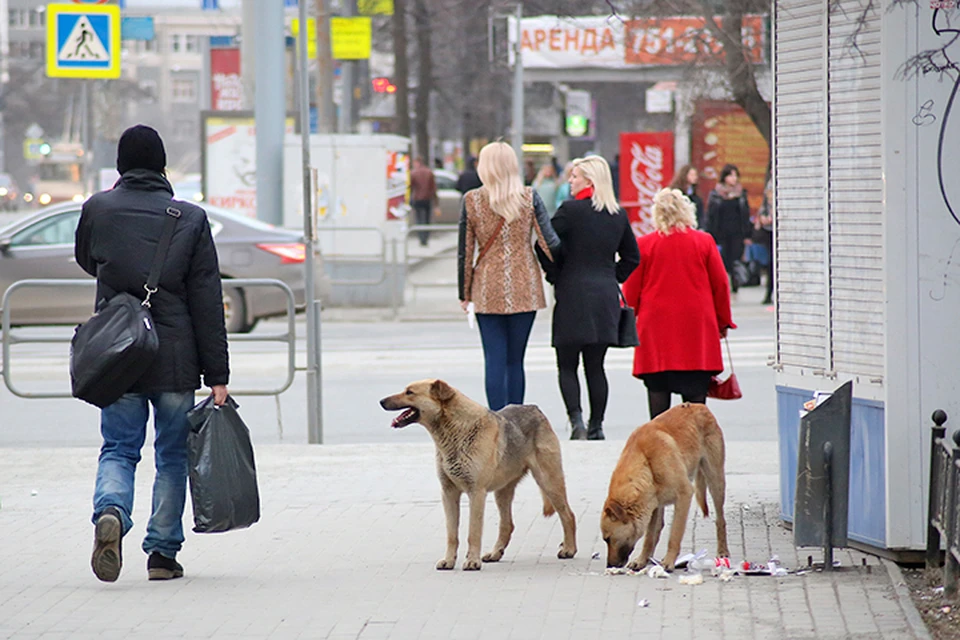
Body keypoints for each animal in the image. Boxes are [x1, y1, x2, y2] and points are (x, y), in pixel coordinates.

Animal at [380, 380, 576, 568]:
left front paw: (472, 561)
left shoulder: (476, 493)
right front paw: (449, 560)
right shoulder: (448, 494)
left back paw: (569, 549)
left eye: (409, 392)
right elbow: (452, 534)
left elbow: (473, 533)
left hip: (548, 481)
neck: (454, 432)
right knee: (507, 525)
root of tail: (535, 408)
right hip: (502, 492)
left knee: (568, 515)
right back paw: (495, 553)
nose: (381, 401)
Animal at [600, 404, 728, 568]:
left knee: (720, 519)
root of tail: (700, 406)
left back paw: (723, 551)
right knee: (658, 528)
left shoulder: (684, 496)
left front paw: (669, 561)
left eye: (607, 539)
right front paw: (642, 559)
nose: (609, 566)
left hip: (715, 481)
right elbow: (649, 537)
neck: (646, 463)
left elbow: (675, 534)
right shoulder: (652, 504)